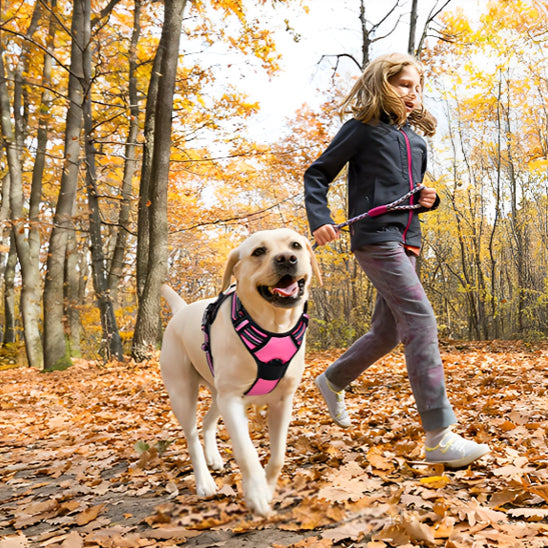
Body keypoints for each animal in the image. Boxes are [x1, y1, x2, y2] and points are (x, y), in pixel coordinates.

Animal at [159, 227, 322, 512]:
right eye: (259, 251)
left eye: (296, 245)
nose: (287, 259)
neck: (273, 327)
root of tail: (181, 310)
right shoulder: (233, 401)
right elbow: (247, 452)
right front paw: (256, 492)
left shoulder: (282, 401)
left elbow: (278, 455)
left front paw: (268, 487)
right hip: (183, 393)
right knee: (191, 435)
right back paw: (204, 481)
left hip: (217, 393)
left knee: (207, 421)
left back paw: (213, 457)